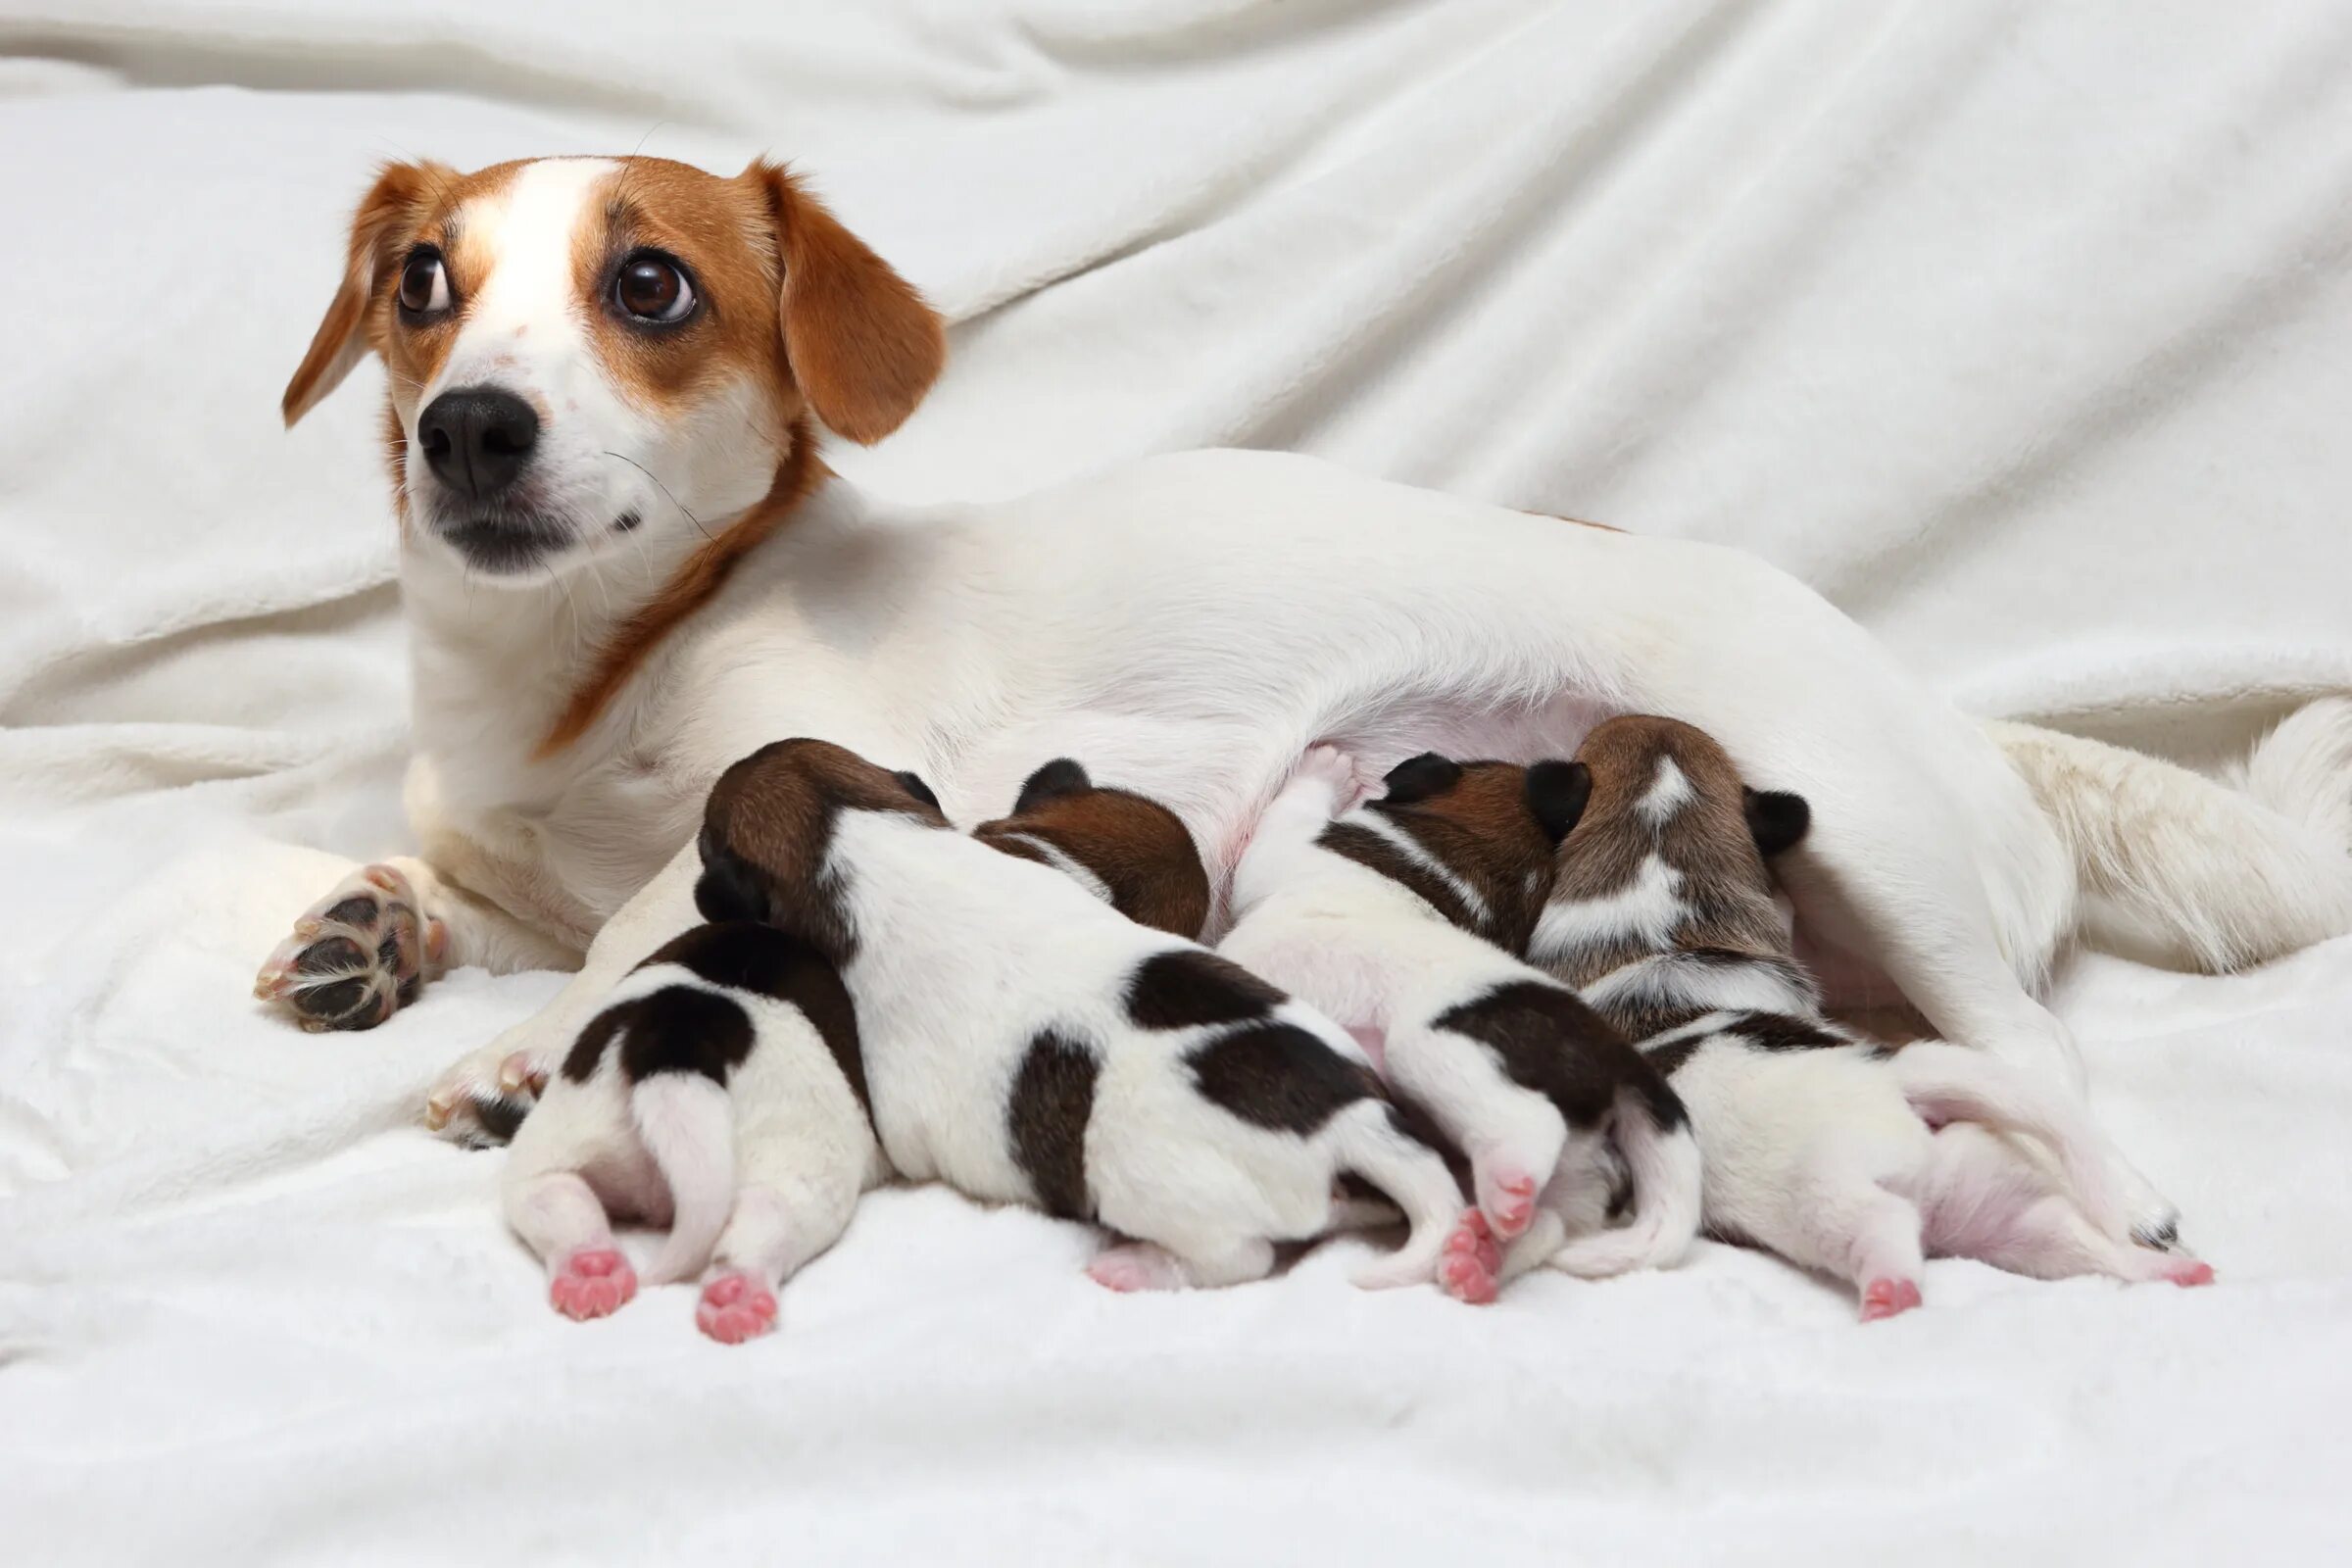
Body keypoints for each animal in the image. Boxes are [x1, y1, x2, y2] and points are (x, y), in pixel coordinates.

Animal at [686, 743, 1458, 1298]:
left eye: (703, 840)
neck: (853, 839)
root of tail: (1349, 1121)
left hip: (1165, 1194)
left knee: (1237, 1259)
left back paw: (1139, 1267)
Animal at [1223, 747, 1702, 1298]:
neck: (1470, 857)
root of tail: (1619, 1054)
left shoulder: (1278, 856)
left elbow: (1285, 815)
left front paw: (1325, 767)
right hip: (1577, 1176)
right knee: (1550, 1224)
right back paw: (1481, 1254)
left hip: (1429, 1050)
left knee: (1530, 1126)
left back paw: (1503, 1190)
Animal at [1533, 719, 2211, 1316]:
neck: (1662, 922)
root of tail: (1900, 1093)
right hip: (1999, 1189)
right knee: (2065, 1217)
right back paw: (2167, 1266)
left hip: (1833, 1193)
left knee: (1882, 1224)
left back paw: (1890, 1291)